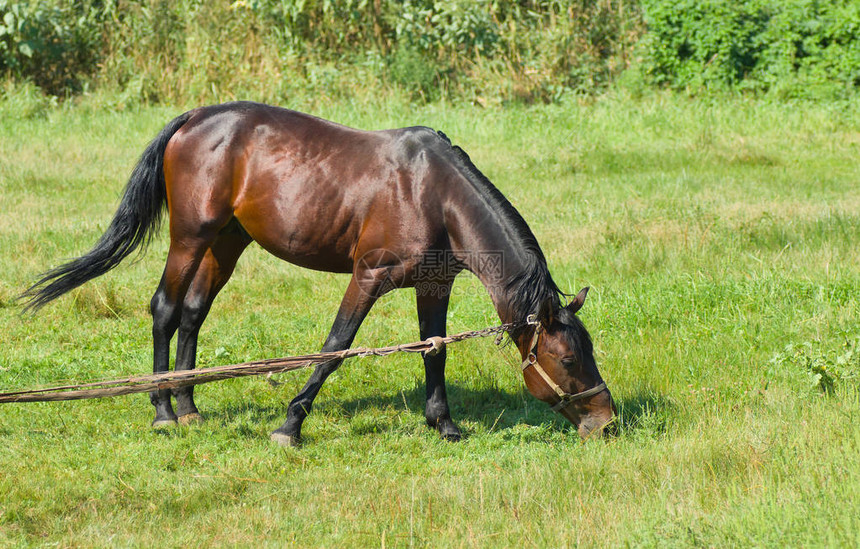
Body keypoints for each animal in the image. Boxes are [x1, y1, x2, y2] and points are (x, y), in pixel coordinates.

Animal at [21, 101, 612, 446]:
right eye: (567, 358)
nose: (605, 420)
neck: (434, 194)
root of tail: (193, 119)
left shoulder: (433, 284)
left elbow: (435, 350)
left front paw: (444, 425)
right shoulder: (368, 276)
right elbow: (336, 346)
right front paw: (290, 424)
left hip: (226, 243)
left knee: (192, 315)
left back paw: (189, 407)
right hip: (190, 236)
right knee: (165, 310)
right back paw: (164, 411)